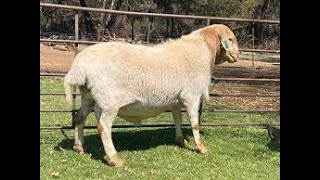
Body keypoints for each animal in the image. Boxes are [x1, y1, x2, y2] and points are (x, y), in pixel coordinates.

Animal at [63, 23, 239, 167]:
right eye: (230, 39)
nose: (237, 56)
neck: (203, 51)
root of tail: (79, 66)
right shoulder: (192, 96)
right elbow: (194, 123)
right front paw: (200, 147)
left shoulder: (175, 100)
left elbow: (177, 119)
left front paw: (181, 141)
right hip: (109, 102)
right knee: (104, 127)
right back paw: (114, 159)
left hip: (88, 96)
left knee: (79, 118)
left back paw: (78, 147)